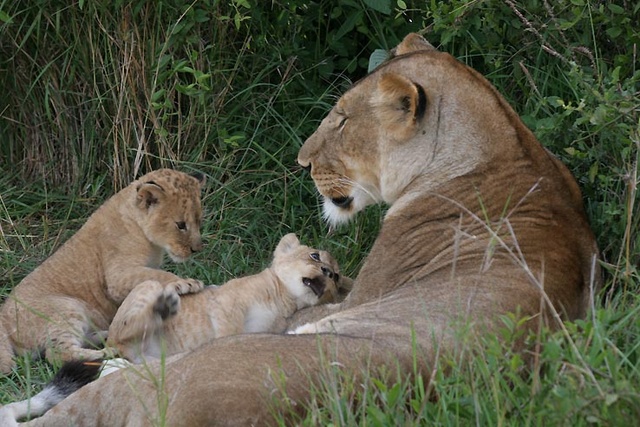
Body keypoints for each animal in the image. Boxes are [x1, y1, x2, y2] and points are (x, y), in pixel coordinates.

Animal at [0, 169, 206, 374]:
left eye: (198, 221)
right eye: (181, 224)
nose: (196, 249)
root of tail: (3, 317)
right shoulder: (117, 277)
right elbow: (157, 276)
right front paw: (185, 282)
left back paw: (103, 336)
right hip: (68, 307)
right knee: (57, 354)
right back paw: (104, 352)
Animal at [107, 233, 351, 363]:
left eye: (337, 277)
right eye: (315, 255)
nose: (329, 273)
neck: (285, 300)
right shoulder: (226, 302)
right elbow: (229, 332)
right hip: (148, 287)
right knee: (122, 329)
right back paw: (163, 307)